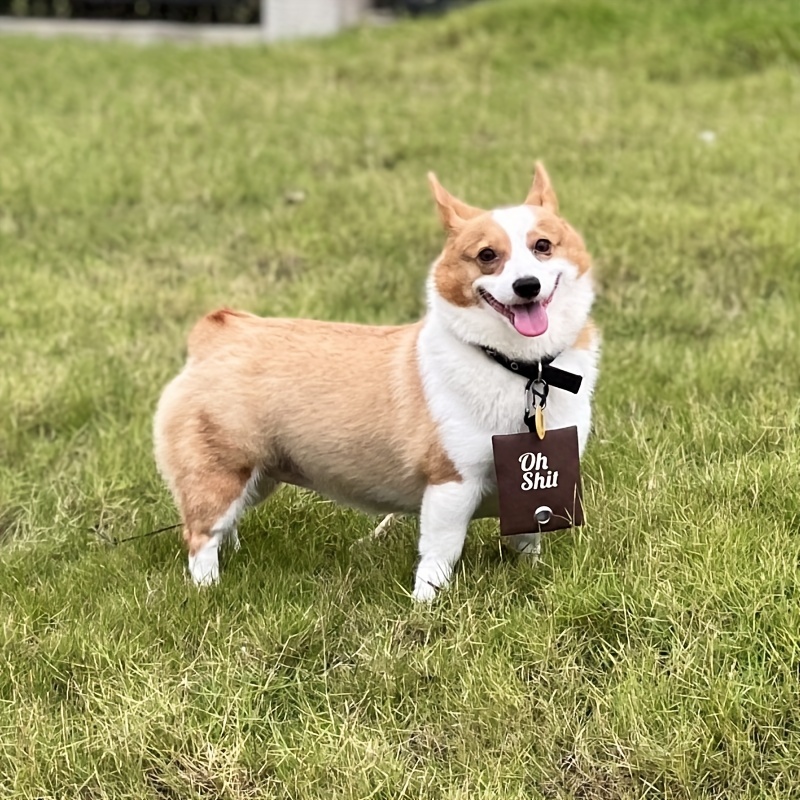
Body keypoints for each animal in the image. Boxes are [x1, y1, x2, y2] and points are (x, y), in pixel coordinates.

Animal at [153, 162, 596, 600]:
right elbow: (440, 554)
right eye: (487, 255)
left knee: (223, 525)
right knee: (201, 535)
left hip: (260, 476)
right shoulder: (451, 485)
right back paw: (209, 589)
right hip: (221, 471)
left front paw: (531, 574)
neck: (517, 366)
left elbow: (527, 536)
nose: (527, 286)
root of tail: (217, 333)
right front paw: (425, 602)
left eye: (543, 246)